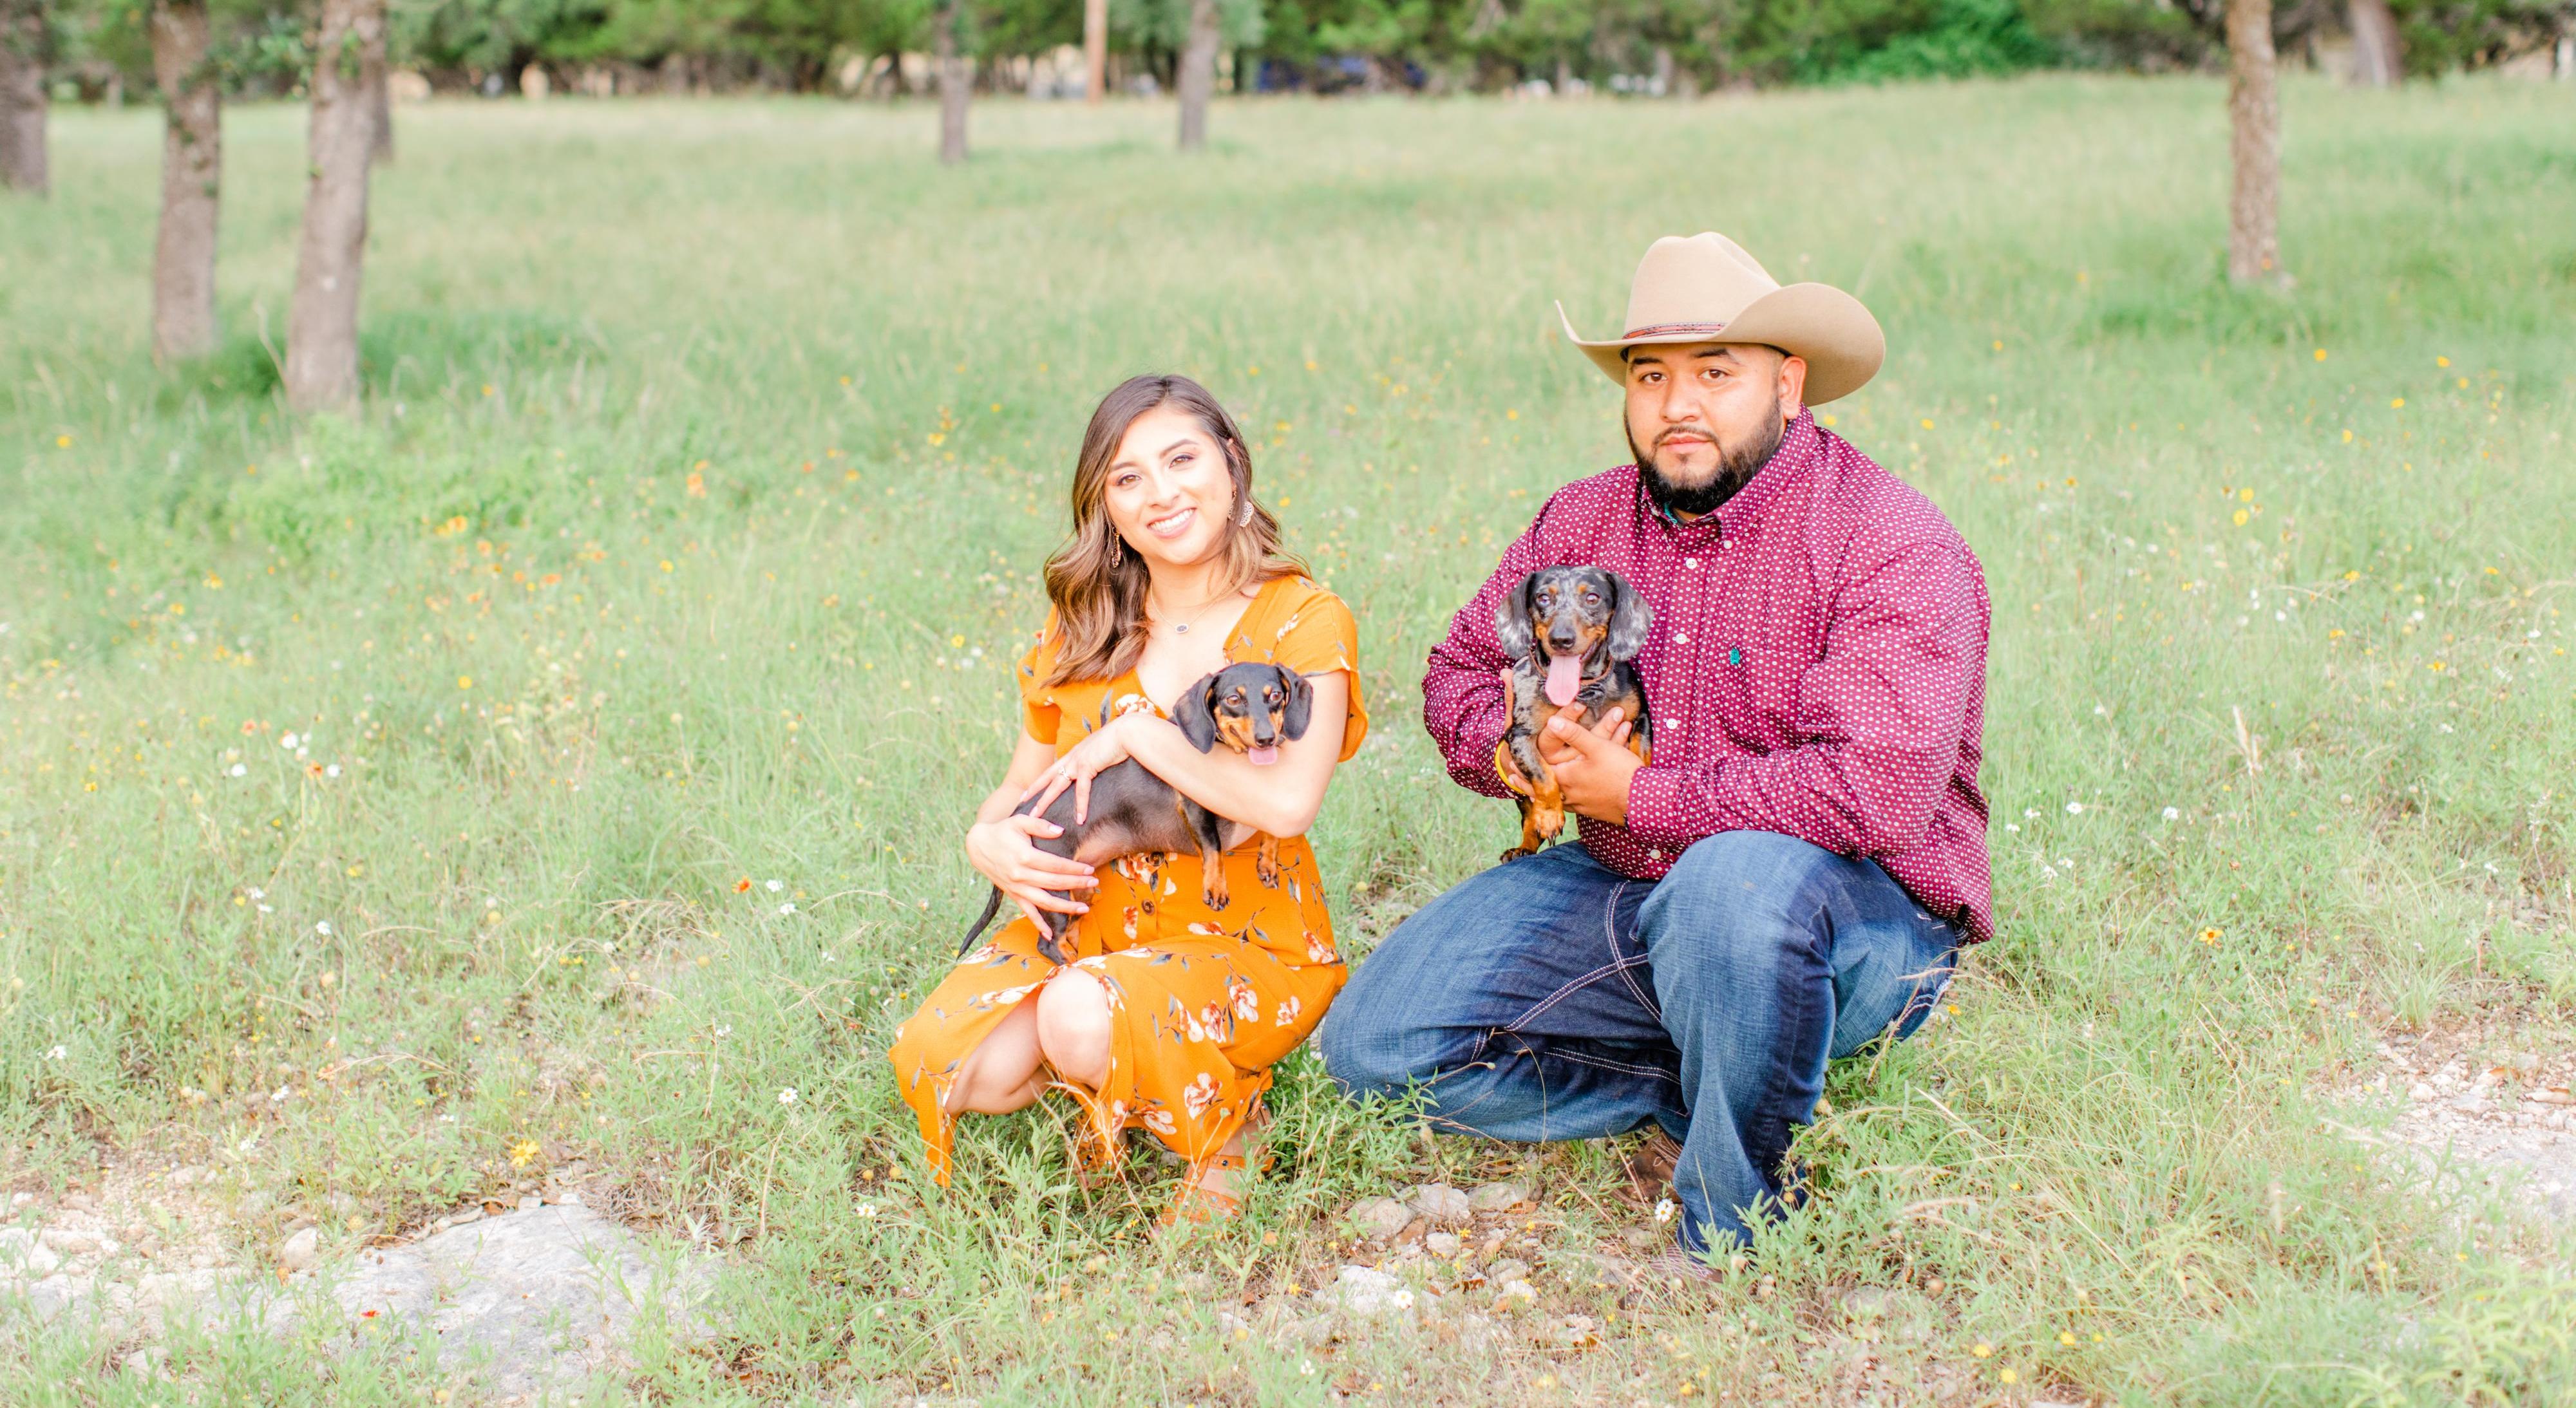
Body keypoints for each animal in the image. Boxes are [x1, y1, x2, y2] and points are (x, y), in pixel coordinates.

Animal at [957, 661, 1313, 964]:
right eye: (1233, 699)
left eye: (1276, 695)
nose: (1267, 739)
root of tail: (1016, 816)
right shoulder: (1194, 807)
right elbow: (1213, 848)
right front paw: (1216, 888)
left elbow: (1272, 830)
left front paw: (1267, 863)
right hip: (1052, 888)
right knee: (1049, 943)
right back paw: (1074, 962)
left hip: (1076, 891)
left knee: (1070, 931)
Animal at [1493, 565, 1653, 861]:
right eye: (1543, 598)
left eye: (1592, 598)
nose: (1561, 639)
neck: (1582, 690)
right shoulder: (1519, 735)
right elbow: (1542, 776)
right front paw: (1549, 816)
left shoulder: (1642, 719)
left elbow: (1640, 753)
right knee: (1529, 821)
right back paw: (1523, 848)